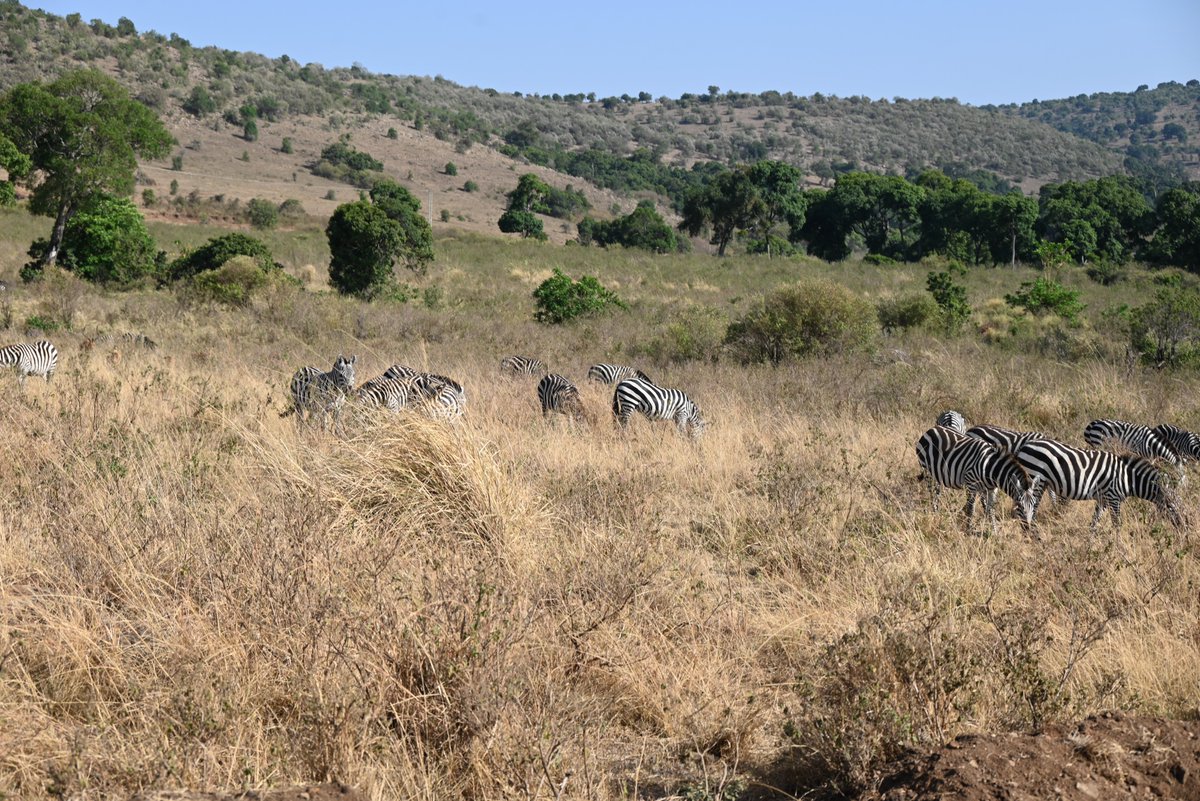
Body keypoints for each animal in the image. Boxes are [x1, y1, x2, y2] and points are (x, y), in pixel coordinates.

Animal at [1014, 439, 1183, 531]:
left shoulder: (1103, 499)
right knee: (1026, 510)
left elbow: (1094, 524)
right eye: (1171, 505)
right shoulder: (1113, 498)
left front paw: (1090, 546)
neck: (1127, 478)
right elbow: (1117, 525)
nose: (1184, 526)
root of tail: (1025, 446)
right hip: (1035, 479)